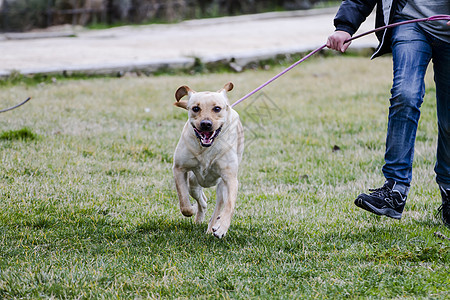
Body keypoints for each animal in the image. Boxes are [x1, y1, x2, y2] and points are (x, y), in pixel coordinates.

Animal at [173, 82, 244, 239]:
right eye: (195, 108)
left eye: (217, 108)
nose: (206, 124)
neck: (206, 148)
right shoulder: (179, 169)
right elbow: (184, 202)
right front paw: (191, 210)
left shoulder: (230, 178)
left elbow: (229, 205)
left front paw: (222, 227)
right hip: (193, 181)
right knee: (202, 200)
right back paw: (199, 217)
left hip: (221, 185)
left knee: (218, 205)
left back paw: (212, 227)